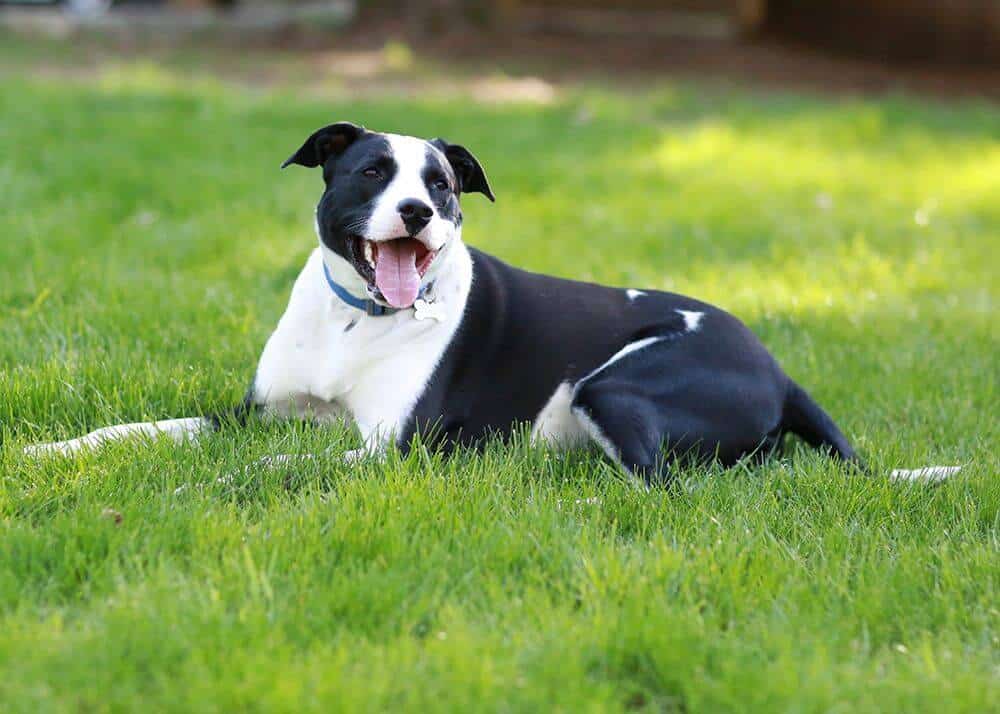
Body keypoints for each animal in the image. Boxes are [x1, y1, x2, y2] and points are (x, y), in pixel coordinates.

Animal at [24, 122, 960, 484]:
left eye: (442, 183)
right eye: (373, 171)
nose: (418, 211)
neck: (356, 320)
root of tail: (778, 365)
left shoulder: (389, 448)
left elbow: (277, 467)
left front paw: (208, 484)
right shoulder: (256, 411)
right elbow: (140, 431)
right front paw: (54, 453)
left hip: (612, 385)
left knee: (662, 484)